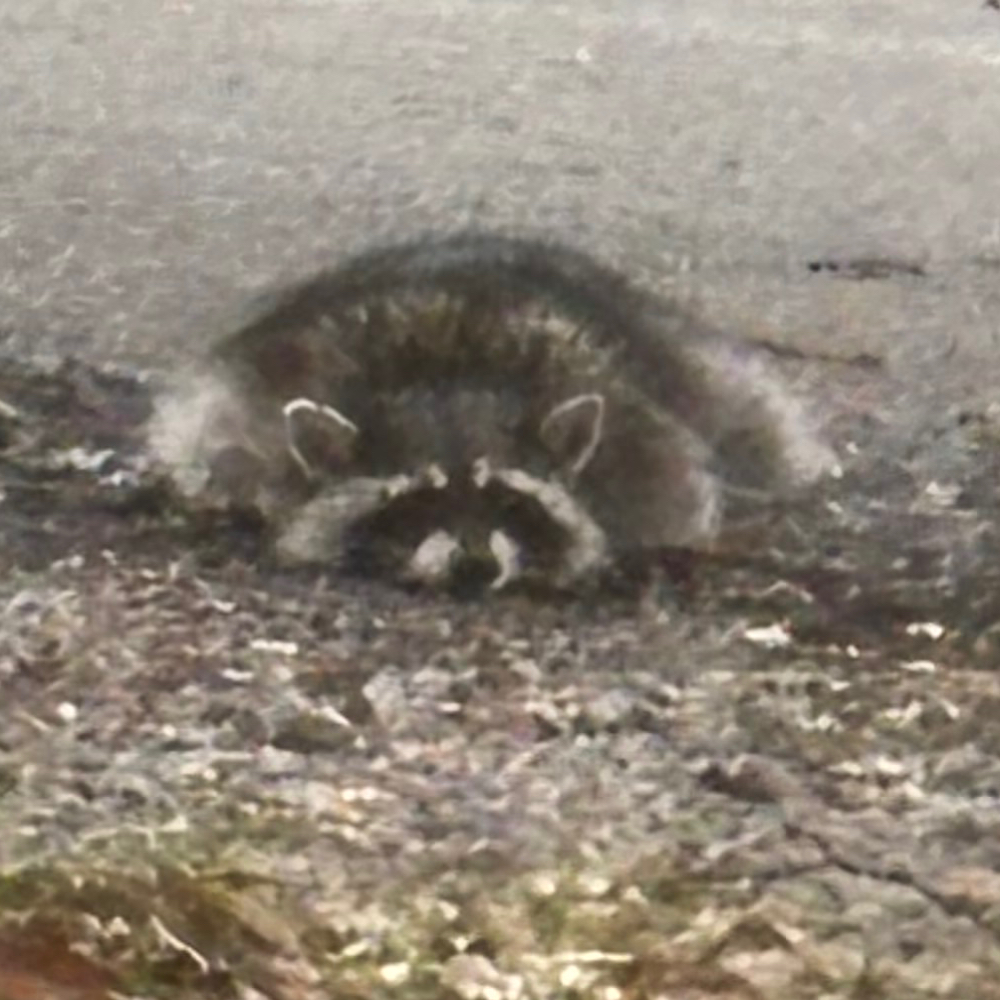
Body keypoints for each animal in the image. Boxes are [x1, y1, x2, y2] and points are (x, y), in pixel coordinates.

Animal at [149, 231, 834, 591]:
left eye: (506, 495)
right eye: (416, 498)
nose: (476, 564)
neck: (451, 376)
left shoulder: (644, 453)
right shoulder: (251, 417)